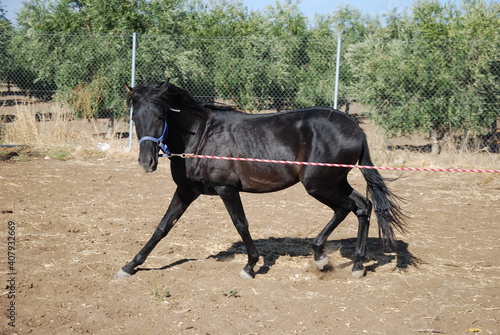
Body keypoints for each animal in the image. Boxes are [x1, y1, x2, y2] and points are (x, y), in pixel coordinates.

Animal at [115, 79, 404, 280]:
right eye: (135, 117)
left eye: (160, 116)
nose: (147, 163)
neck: (200, 136)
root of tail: (354, 126)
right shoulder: (186, 190)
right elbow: (163, 227)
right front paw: (129, 266)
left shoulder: (226, 189)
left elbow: (241, 225)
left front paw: (250, 266)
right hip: (335, 182)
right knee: (363, 206)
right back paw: (356, 264)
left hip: (318, 185)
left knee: (347, 208)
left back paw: (322, 256)